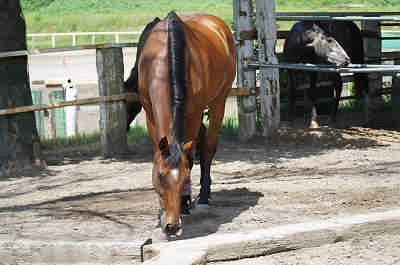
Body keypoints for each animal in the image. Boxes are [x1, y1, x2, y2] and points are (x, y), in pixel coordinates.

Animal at [139, 11, 236, 235]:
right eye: (160, 176)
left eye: (184, 178)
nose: (171, 226)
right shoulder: (149, 113)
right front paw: (160, 212)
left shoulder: (193, 113)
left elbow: (190, 158)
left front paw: (183, 203)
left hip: (219, 100)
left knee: (208, 145)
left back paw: (203, 198)